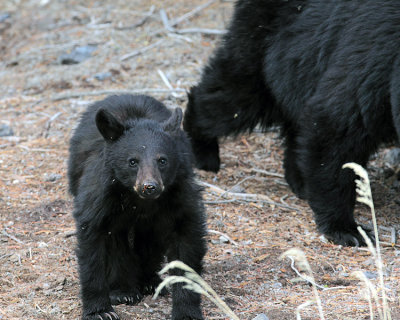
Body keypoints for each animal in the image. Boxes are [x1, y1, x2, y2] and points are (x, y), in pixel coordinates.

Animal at [67, 95, 206, 320]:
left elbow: (186, 244)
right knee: (118, 243)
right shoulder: (100, 197)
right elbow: (93, 244)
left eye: (162, 160)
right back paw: (123, 291)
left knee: (149, 241)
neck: (140, 201)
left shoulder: (179, 196)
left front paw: (186, 311)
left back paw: (149, 282)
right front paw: (100, 311)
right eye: (133, 161)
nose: (150, 186)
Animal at [184, 0, 400, 248]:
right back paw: (202, 151)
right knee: (232, 96)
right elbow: (335, 129)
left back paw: (300, 181)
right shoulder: (375, 61)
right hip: (260, 44)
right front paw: (348, 229)